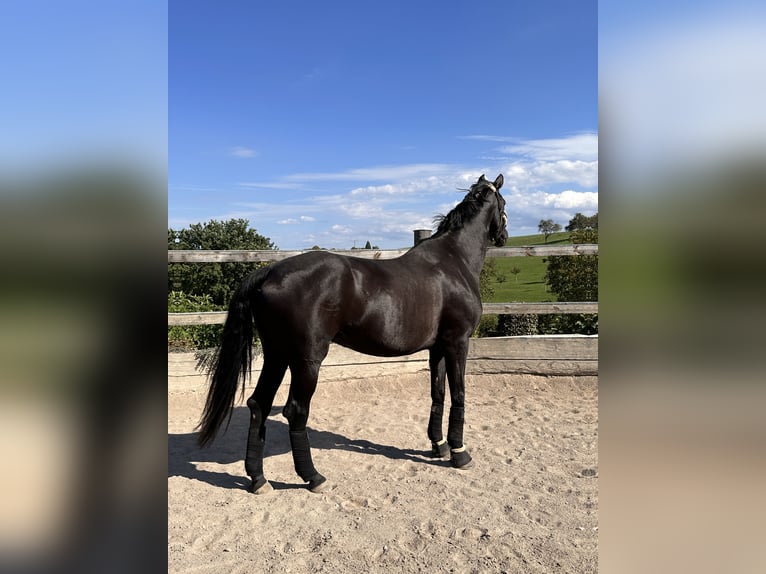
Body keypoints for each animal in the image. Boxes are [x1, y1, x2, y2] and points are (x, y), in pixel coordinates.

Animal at [197, 174, 508, 494]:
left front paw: (439, 445)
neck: (453, 260)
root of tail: (269, 273)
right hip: (306, 361)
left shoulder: (438, 347)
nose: (504, 236)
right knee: (295, 411)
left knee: (259, 404)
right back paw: (313, 477)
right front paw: (459, 453)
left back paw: (258, 479)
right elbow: (459, 393)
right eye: (504, 203)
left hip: (277, 355)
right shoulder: (458, 342)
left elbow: (438, 393)